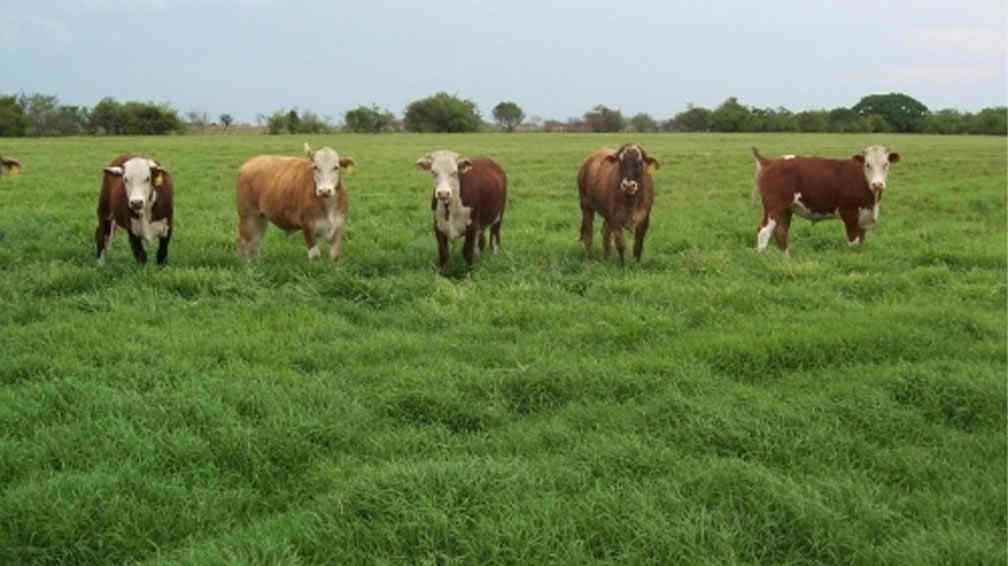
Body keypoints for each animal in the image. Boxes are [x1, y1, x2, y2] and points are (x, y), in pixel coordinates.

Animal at [753, 143, 903, 253]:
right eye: (867, 165)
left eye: (886, 164)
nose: (877, 183)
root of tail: (770, 162)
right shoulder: (849, 213)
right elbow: (853, 243)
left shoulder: (863, 218)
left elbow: (861, 242)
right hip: (774, 207)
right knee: (764, 232)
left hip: (786, 209)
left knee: (781, 232)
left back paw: (786, 258)